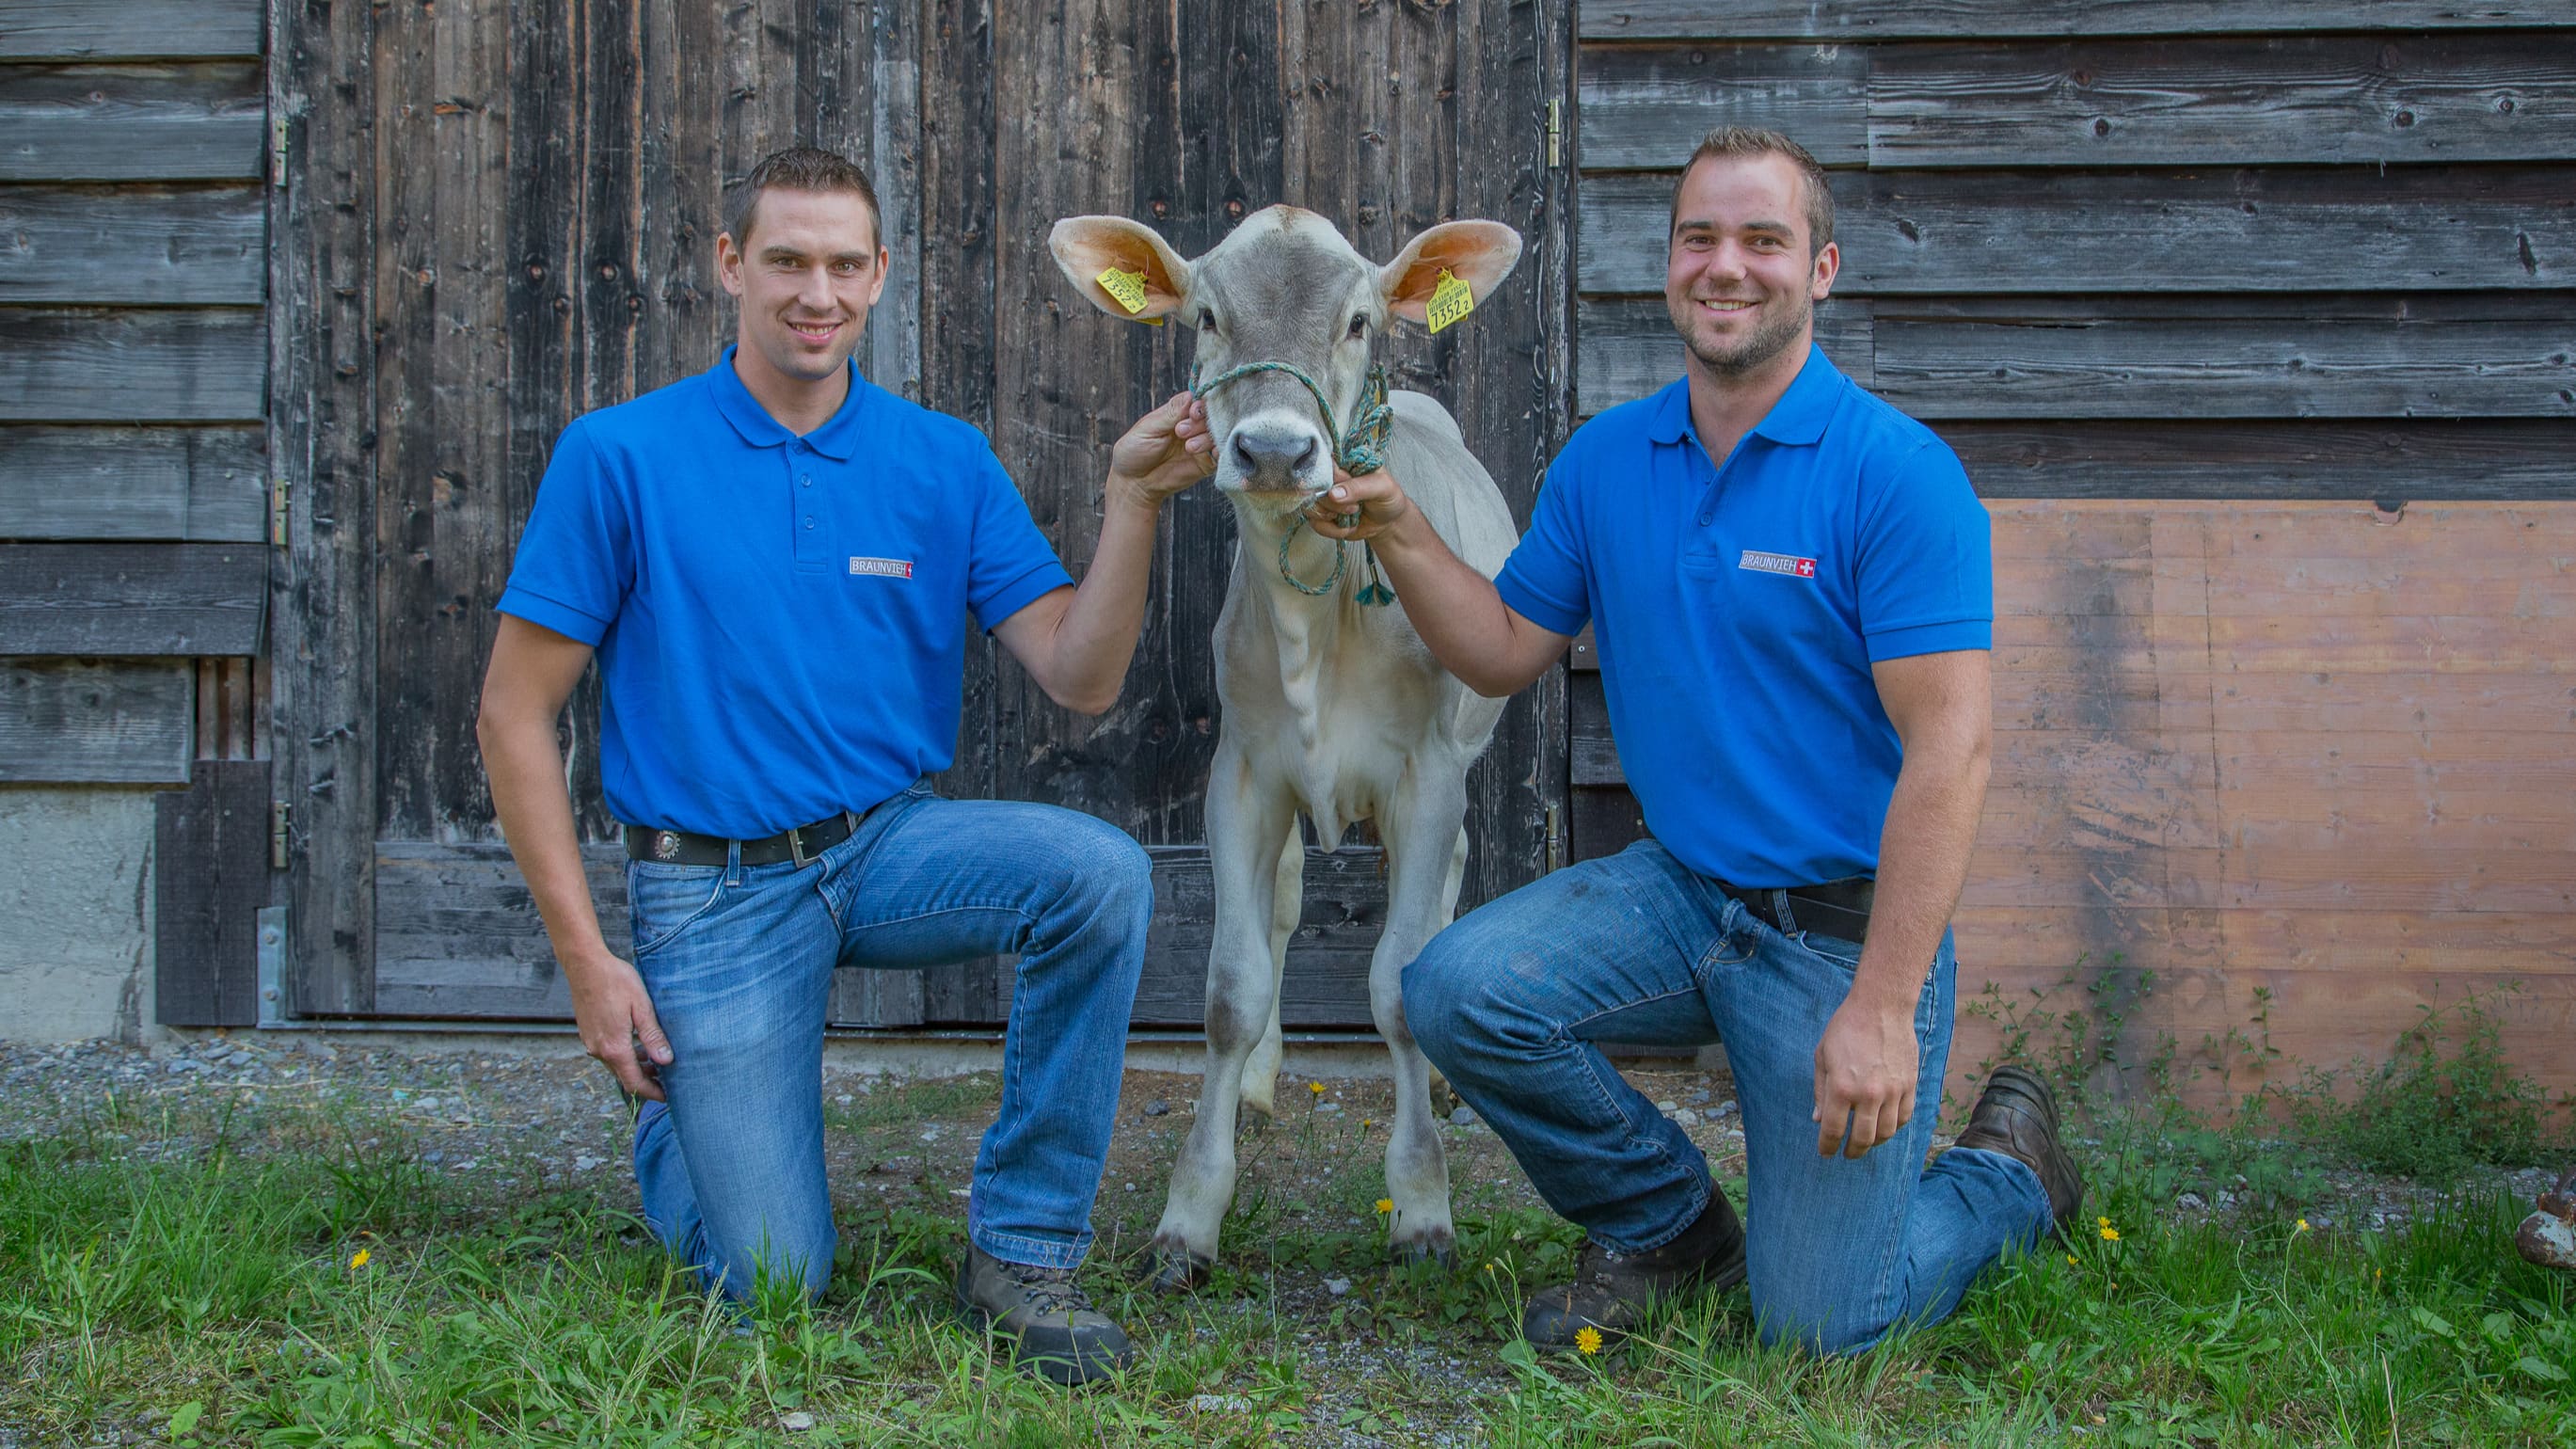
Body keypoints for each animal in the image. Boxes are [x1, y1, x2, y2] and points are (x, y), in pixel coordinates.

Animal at [1051, 203, 1514, 1273]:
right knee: (1291, 904)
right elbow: (1229, 989)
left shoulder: (1427, 776)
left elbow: (1395, 987)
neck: (1314, 621)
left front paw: (1422, 1206)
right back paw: (1261, 1085)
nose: (1271, 450)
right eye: (1208, 317)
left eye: (1358, 321)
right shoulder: (1243, 775)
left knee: (1443, 894)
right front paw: (1189, 1216)